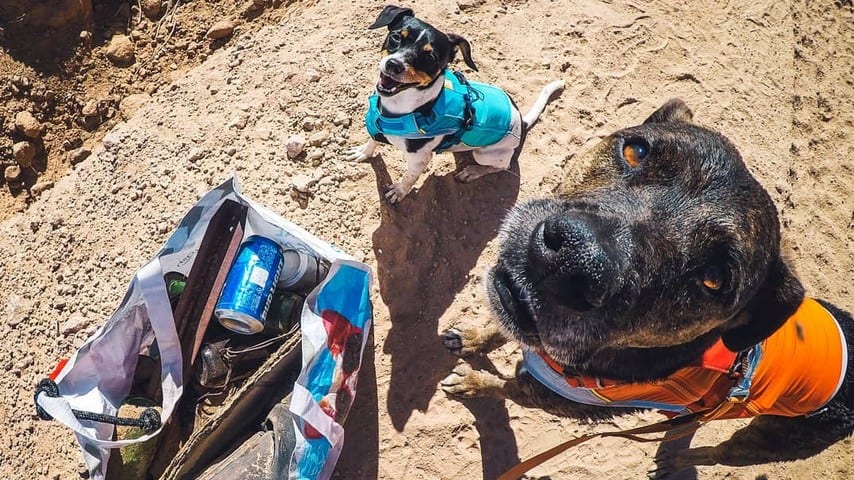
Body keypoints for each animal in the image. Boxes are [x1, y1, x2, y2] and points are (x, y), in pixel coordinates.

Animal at [348, 6, 568, 203]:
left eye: (430, 57)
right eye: (396, 37)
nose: (393, 65)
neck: (398, 108)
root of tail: (522, 121)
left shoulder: (419, 160)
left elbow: (408, 178)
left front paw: (399, 192)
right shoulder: (376, 125)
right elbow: (372, 141)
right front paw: (363, 152)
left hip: (486, 154)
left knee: (500, 166)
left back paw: (471, 172)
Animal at [442, 99, 854, 474]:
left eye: (714, 279)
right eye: (636, 150)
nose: (574, 261)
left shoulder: (542, 395)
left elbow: (503, 387)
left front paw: (473, 384)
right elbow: (499, 327)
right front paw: (474, 339)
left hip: (765, 440)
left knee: (719, 453)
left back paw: (676, 460)